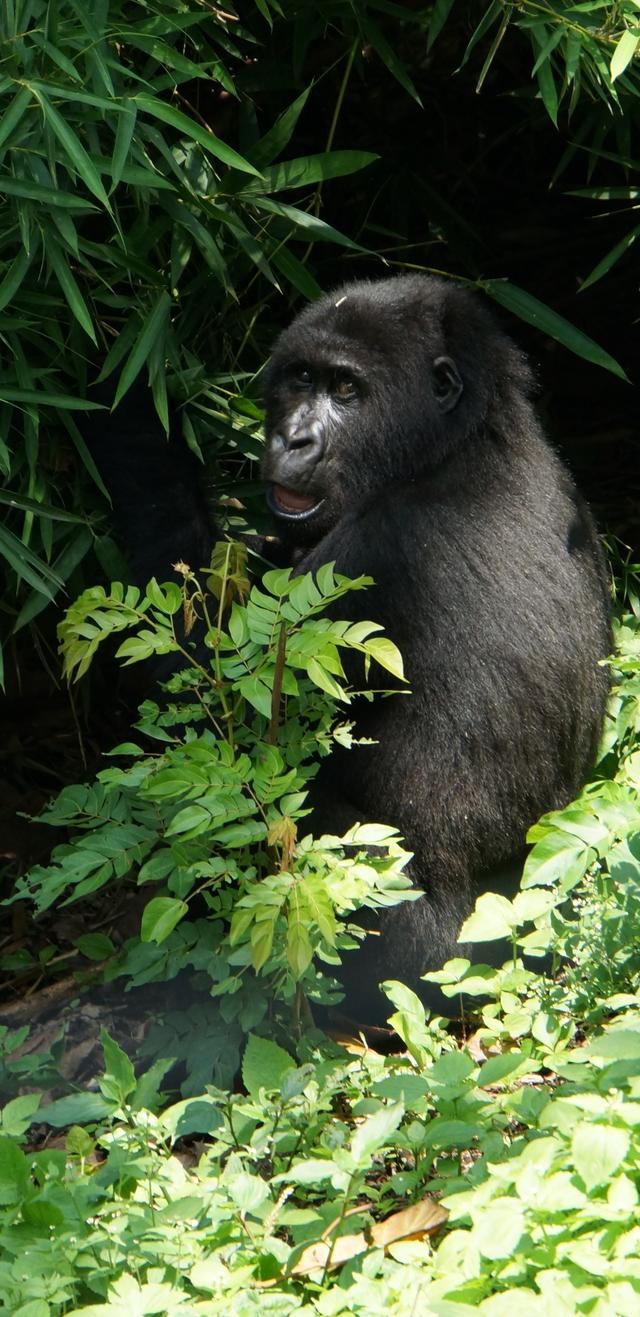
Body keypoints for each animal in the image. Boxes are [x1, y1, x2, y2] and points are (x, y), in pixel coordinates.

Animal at [90, 275, 611, 1016]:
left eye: (346, 390)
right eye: (301, 379)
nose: (293, 439)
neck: (466, 439)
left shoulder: (375, 552)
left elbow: (219, 707)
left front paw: (127, 417)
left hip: (426, 962)